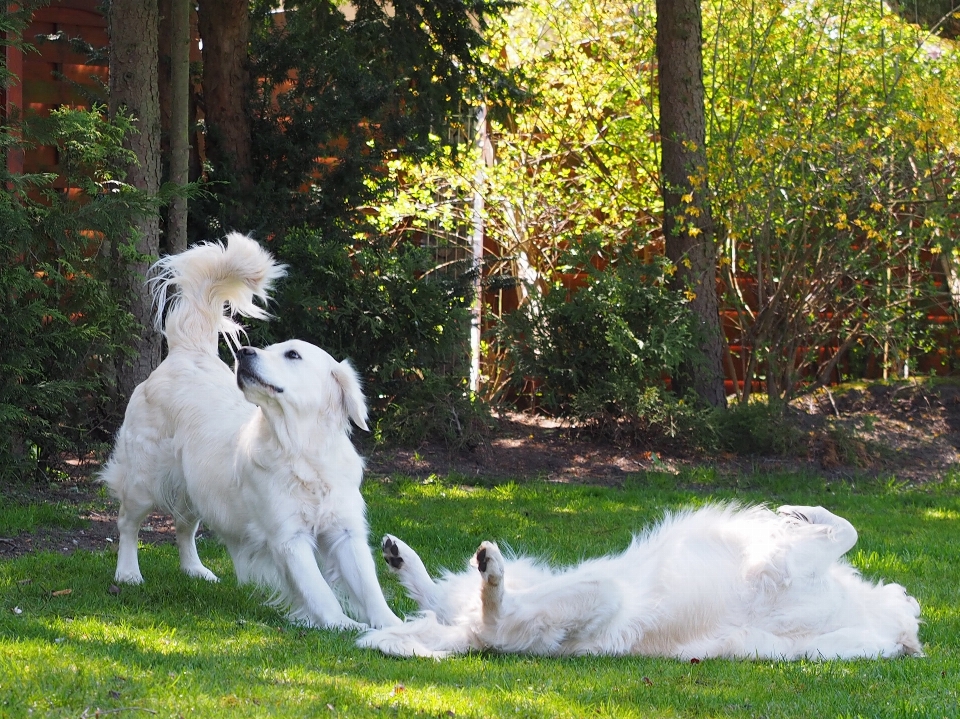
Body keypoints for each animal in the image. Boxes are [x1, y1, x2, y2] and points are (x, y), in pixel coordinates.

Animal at [104, 232, 402, 632]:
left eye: (292, 354)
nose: (244, 352)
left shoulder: (346, 532)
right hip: (142, 478)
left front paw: (396, 627)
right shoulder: (288, 538)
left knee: (184, 526)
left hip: (197, 486)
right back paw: (128, 573)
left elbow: (370, 589)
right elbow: (320, 593)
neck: (300, 449)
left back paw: (195, 570)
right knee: (128, 524)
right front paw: (345, 627)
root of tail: (187, 352)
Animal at [360, 504, 924, 660]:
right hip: (550, 576)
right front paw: (801, 511)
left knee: (493, 617)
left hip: (596, 595)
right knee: (446, 600)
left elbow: (845, 533)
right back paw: (401, 557)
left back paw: (487, 569)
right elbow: (846, 528)